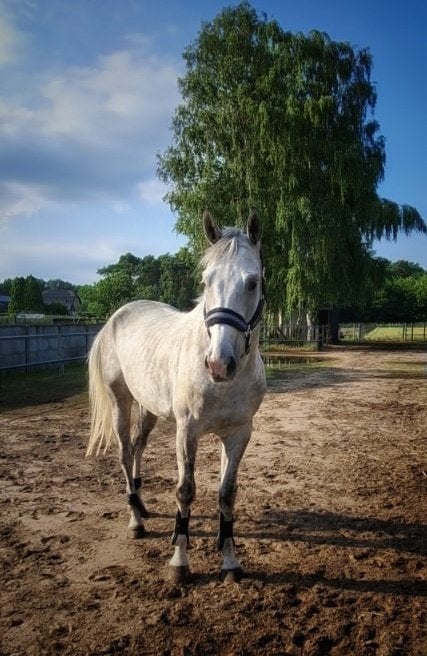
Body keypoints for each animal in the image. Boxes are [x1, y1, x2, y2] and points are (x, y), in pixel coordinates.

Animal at [86, 210, 266, 583]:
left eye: (253, 282)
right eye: (206, 280)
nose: (218, 363)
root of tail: (116, 316)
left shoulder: (238, 433)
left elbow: (227, 494)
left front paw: (229, 559)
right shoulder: (188, 431)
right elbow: (185, 490)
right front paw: (179, 561)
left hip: (149, 409)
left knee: (138, 447)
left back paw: (142, 506)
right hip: (120, 401)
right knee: (125, 453)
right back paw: (136, 521)